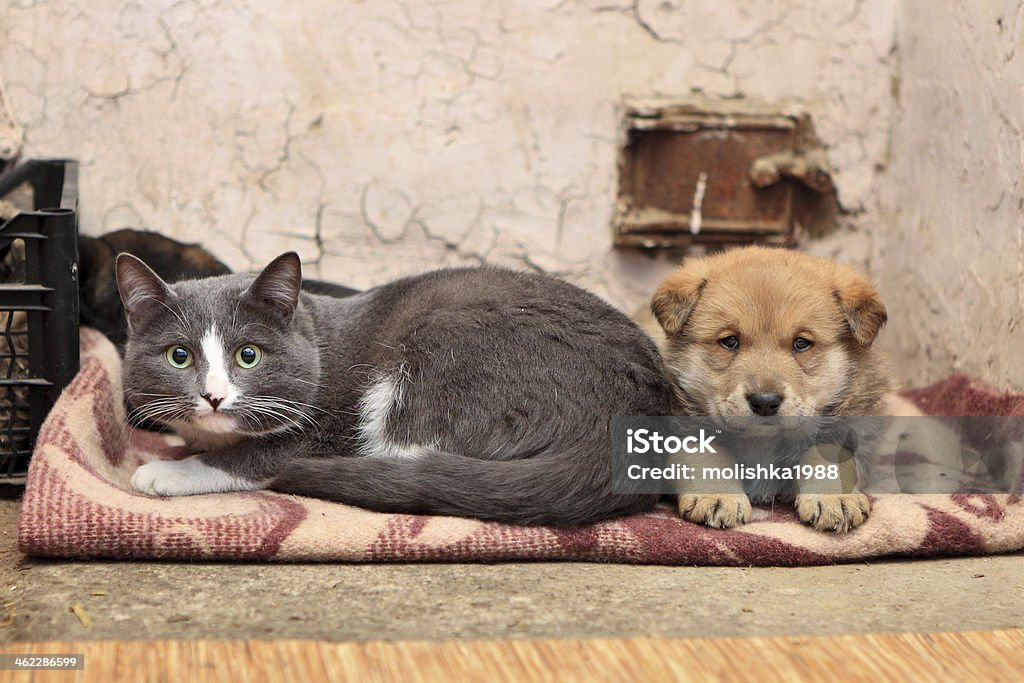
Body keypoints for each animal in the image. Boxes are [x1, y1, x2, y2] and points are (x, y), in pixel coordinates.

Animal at [116, 253, 671, 528]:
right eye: (179, 356)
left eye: (247, 355)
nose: (213, 396)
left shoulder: (323, 427)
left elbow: (257, 456)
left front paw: (168, 471)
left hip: (447, 348)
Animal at [651, 245, 892, 532]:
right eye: (729, 341)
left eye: (801, 343)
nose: (764, 402)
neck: (763, 441)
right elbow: (705, 454)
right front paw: (718, 495)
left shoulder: (849, 431)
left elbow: (826, 453)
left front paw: (834, 497)